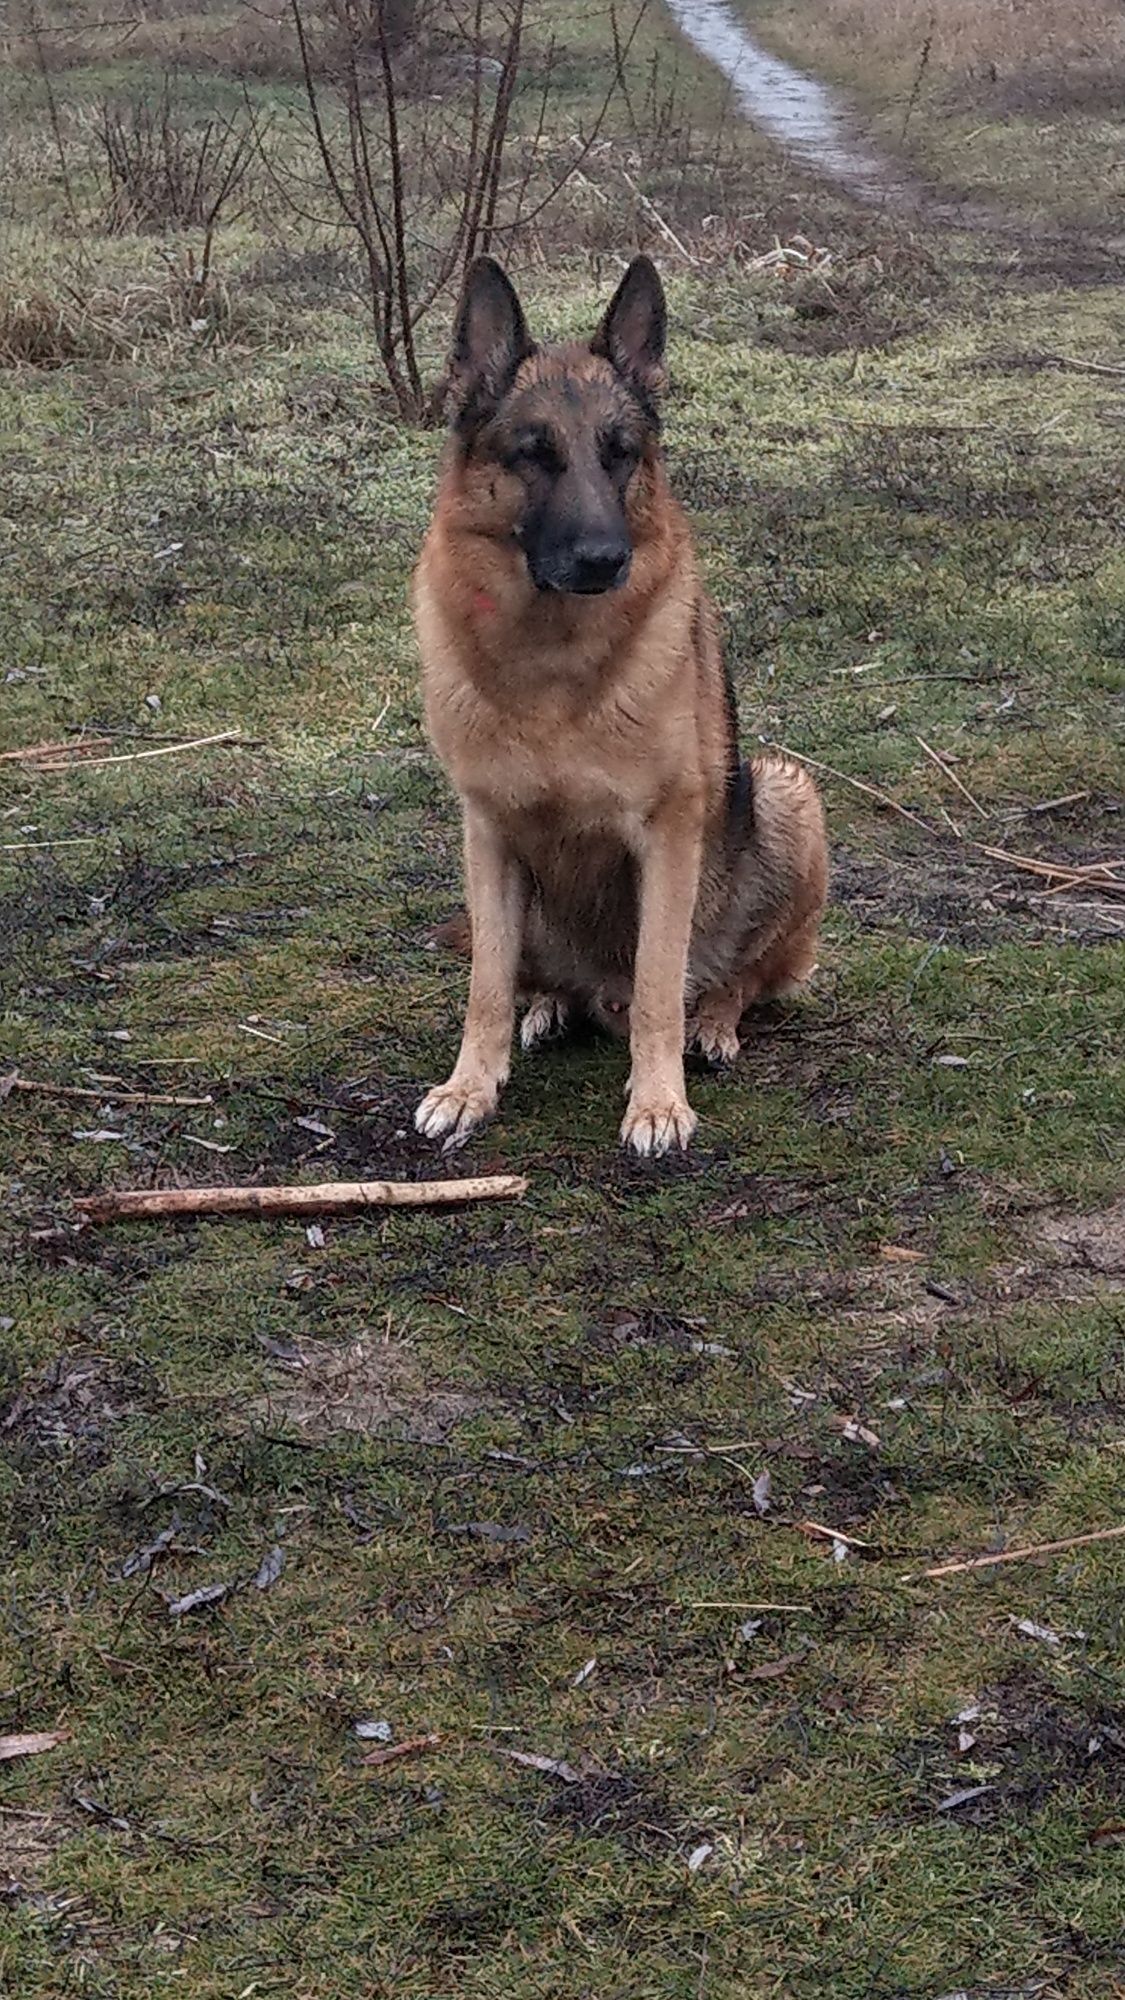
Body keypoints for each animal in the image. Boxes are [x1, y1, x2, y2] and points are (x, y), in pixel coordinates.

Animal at [412, 254, 824, 1160]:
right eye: (533, 454)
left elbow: (660, 982)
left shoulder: (667, 837)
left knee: (735, 977)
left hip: (784, 792)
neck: (552, 669)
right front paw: (469, 1088)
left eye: (620, 453)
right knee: (535, 978)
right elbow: (484, 984)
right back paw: (549, 1007)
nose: (604, 559)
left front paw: (658, 1102)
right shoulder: (486, 833)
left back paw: (713, 1025)